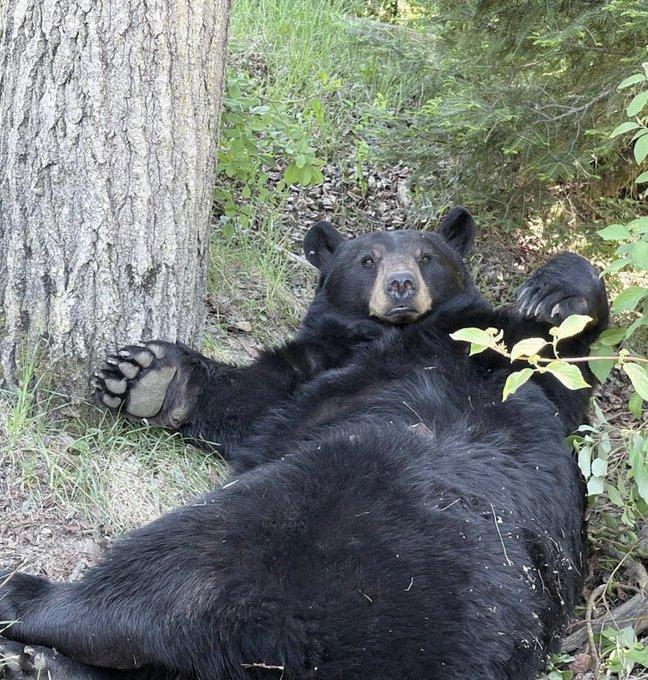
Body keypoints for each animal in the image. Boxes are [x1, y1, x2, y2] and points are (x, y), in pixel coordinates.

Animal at [0, 207, 609, 680]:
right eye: (366, 260)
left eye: (427, 255)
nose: (401, 285)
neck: (388, 335)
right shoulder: (311, 367)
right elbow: (249, 399)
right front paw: (144, 375)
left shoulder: (499, 355)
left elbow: (564, 356)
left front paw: (552, 287)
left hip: (291, 518)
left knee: (162, 580)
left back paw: (27, 599)